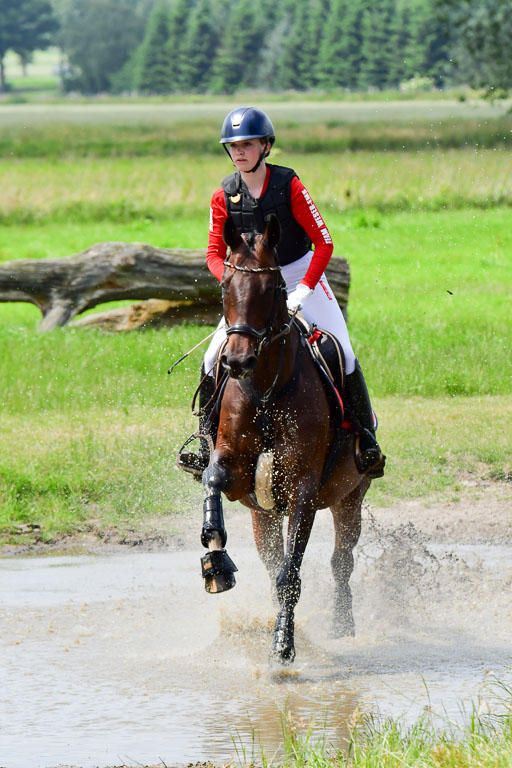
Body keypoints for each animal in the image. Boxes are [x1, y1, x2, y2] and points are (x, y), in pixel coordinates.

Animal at [197, 214, 371, 665]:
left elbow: (291, 573)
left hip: (352, 496)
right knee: (272, 558)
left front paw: (283, 645)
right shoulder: (236, 471)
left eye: (273, 288)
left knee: (341, 561)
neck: (265, 389)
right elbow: (212, 479)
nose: (237, 361)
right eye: (225, 287)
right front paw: (215, 560)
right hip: (264, 515)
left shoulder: (304, 490)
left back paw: (342, 625)